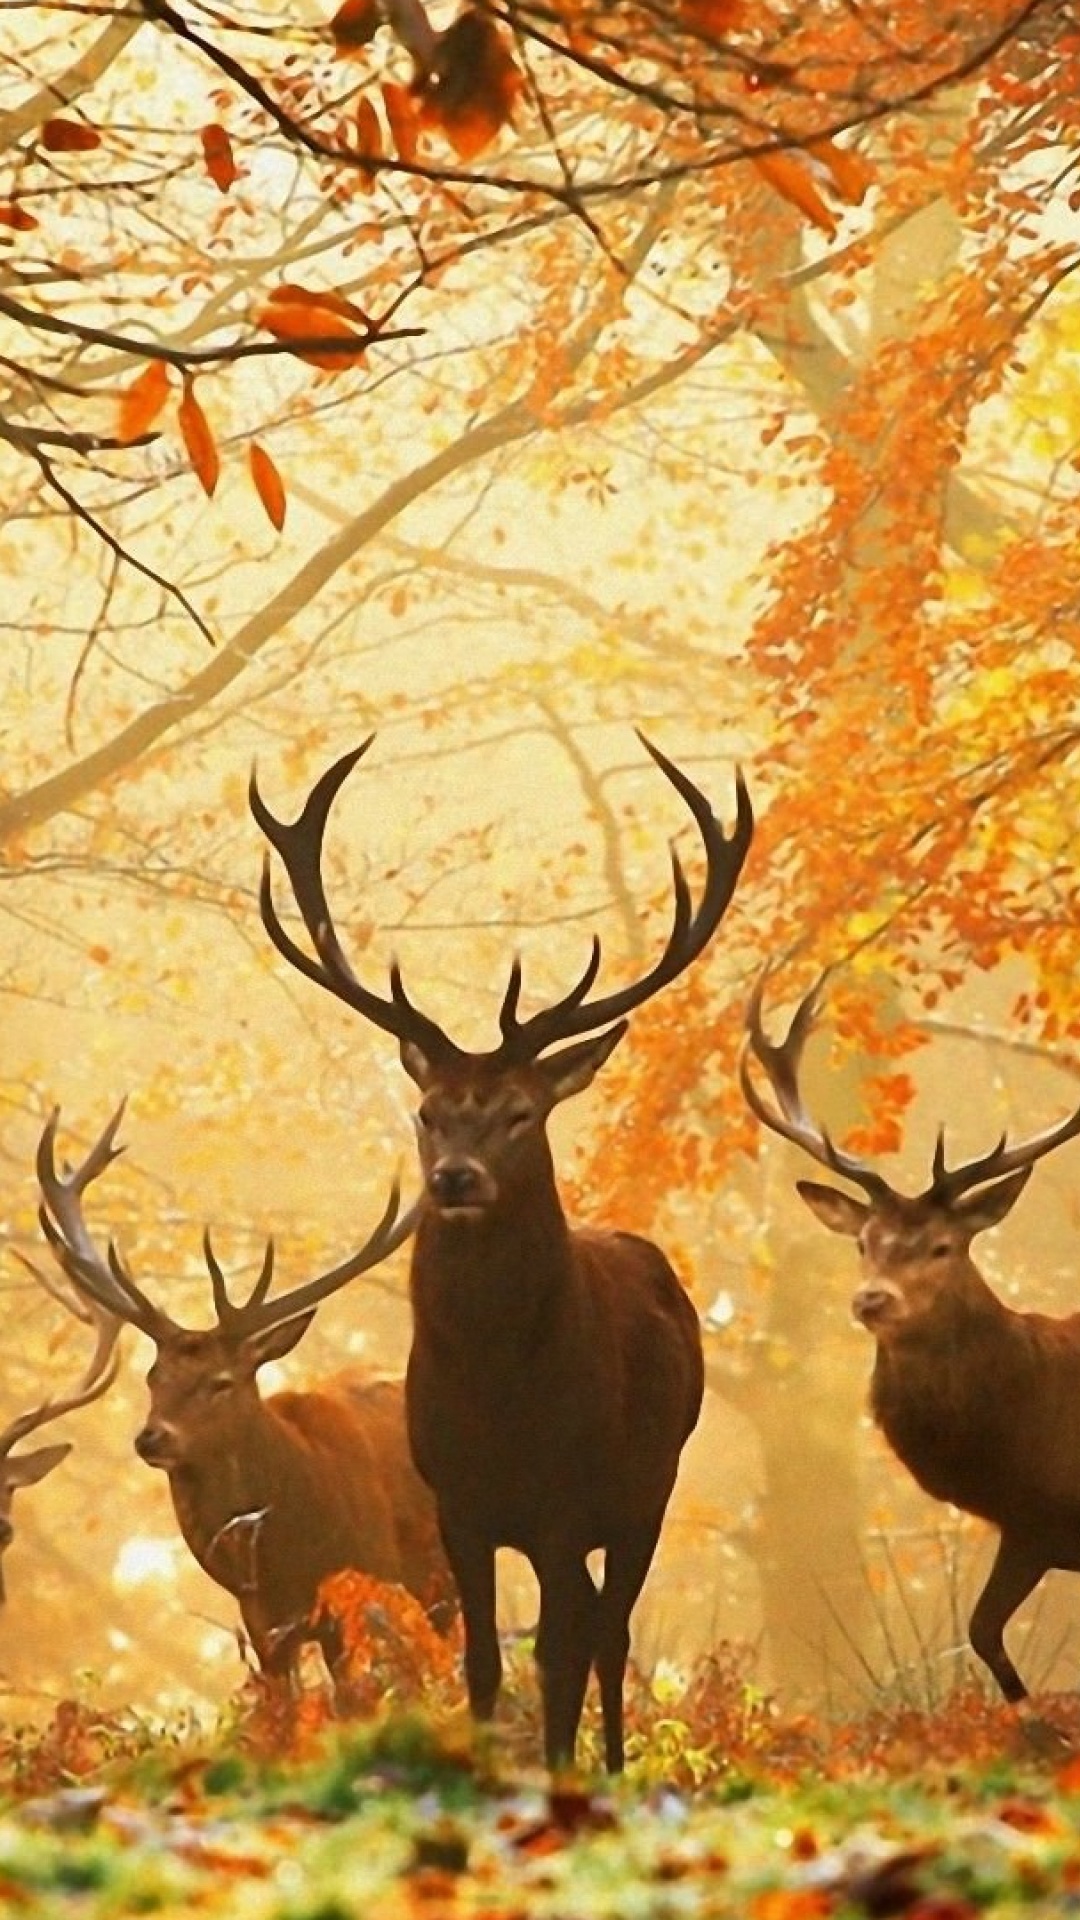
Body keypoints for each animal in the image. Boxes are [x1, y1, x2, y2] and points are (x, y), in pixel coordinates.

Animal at [36, 1104, 457, 1699]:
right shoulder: (263, 1621)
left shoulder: (367, 1582)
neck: (290, 1552)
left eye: (222, 1381)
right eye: (153, 1376)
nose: (151, 1437)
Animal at [249, 730, 753, 1770]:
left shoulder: (567, 1500)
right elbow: (481, 1660)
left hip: (649, 1485)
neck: (500, 1399)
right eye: (429, 1111)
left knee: (610, 1631)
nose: (455, 1179)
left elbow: (559, 1655)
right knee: (595, 1624)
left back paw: (611, 1765)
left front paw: (559, 1773)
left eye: (521, 1112)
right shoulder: (458, 1504)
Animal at [741, 967, 1080, 1738]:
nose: (872, 1300)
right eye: (864, 1242)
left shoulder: (1043, 1519)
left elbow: (988, 1630)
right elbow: (982, 1630)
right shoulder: (1031, 1524)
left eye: (942, 1246)